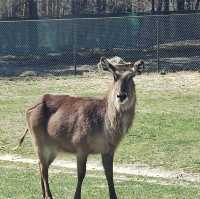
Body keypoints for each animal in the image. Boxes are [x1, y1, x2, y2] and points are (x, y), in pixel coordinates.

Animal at [17, 56, 144, 198]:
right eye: (114, 76)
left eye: (131, 76)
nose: (121, 95)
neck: (105, 128)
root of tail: (29, 109)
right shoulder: (81, 147)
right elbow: (81, 174)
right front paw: (76, 196)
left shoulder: (109, 150)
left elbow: (109, 175)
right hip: (39, 142)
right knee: (43, 168)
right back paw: (49, 195)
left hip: (53, 148)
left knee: (41, 165)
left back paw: (43, 194)